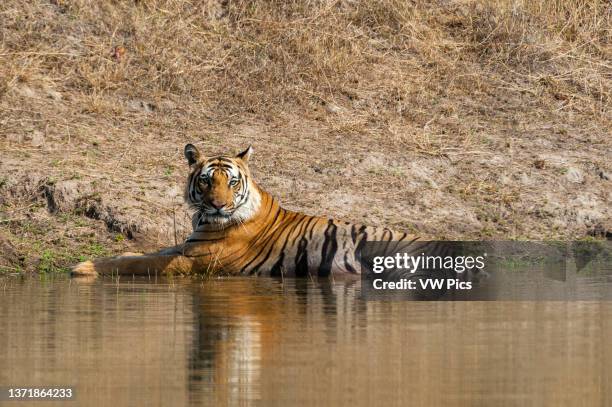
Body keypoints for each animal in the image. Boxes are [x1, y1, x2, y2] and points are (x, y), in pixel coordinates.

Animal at [71, 143, 444, 280]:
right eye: (206, 181)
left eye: (232, 182)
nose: (218, 204)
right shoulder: (186, 247)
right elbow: (140, 253)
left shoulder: (196, 262)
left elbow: (137, 263)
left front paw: (84, 267)